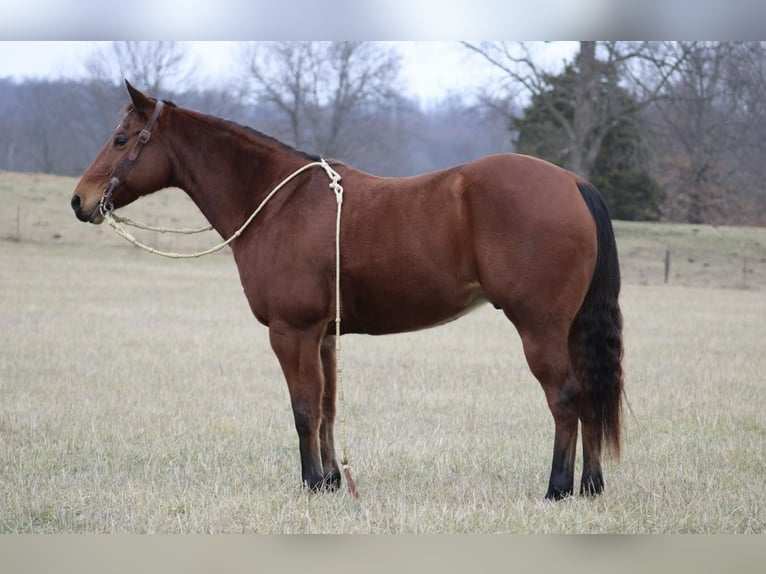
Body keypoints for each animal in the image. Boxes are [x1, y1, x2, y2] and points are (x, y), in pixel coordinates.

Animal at [70, 82, 624, 504]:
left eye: (121, 139)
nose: (80, 201)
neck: (278, 202)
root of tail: (573, 182)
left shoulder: (290, 332)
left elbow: (303, 408)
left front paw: (311, 482)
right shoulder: (323, 335)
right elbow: (328, 407)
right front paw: (332, 482)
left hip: (539, 326)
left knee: (566, 397)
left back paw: (557, 489)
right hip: (569, 327)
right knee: (590, 395)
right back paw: (591, 486)